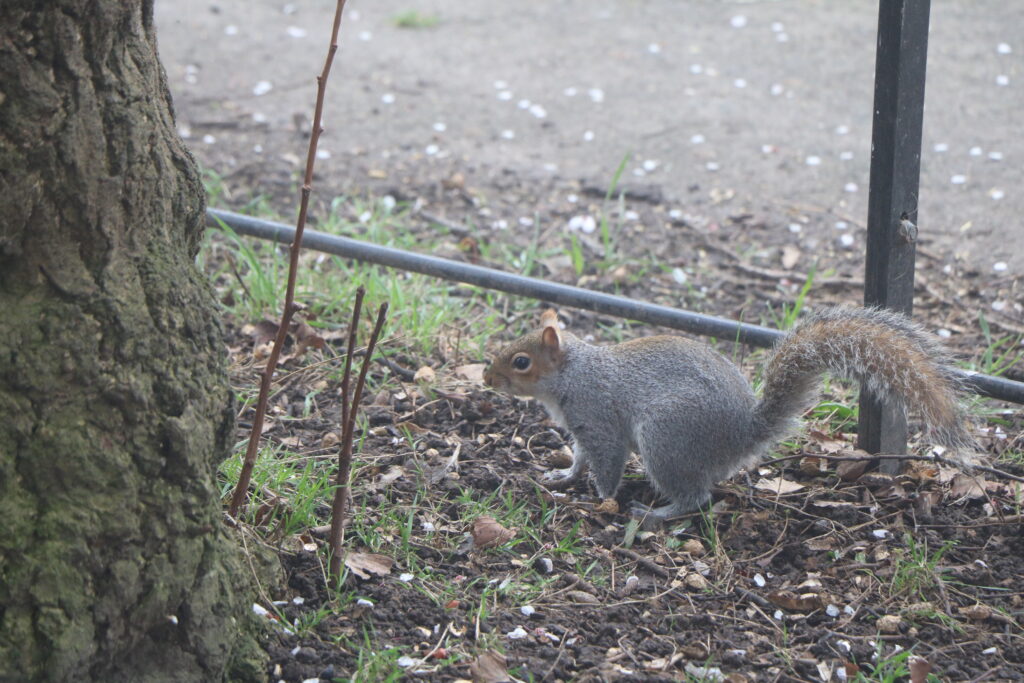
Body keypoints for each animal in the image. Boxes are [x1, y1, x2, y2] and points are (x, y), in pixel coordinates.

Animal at [483, 307, 976, 520]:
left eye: (521, 362)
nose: (487, 378)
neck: (571, 376)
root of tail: (743, 434)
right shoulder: (581, 428)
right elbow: (580, 458)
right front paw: (562, 477)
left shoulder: (599, 418)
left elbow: (605, 463)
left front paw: (601, 500)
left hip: (666, 437)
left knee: (697, 498)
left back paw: (658, 514)